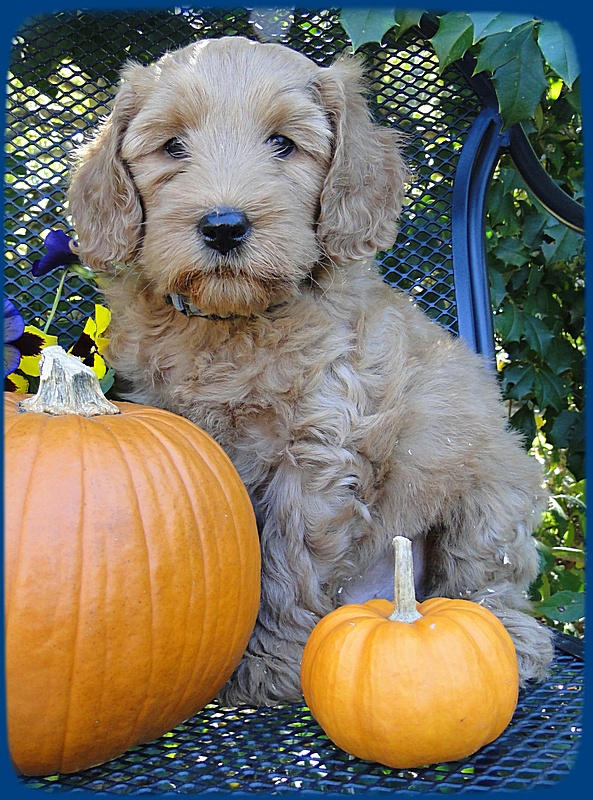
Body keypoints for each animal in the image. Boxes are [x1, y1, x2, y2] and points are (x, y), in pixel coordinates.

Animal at [68, 35, 554, 706]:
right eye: (171, 146)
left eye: (283, 144)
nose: (224, 226)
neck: (232, 325)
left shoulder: (318, 451)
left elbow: (287, 563)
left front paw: (270, 665)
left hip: (492, 482)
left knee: (484, 577)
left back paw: (512, 635)